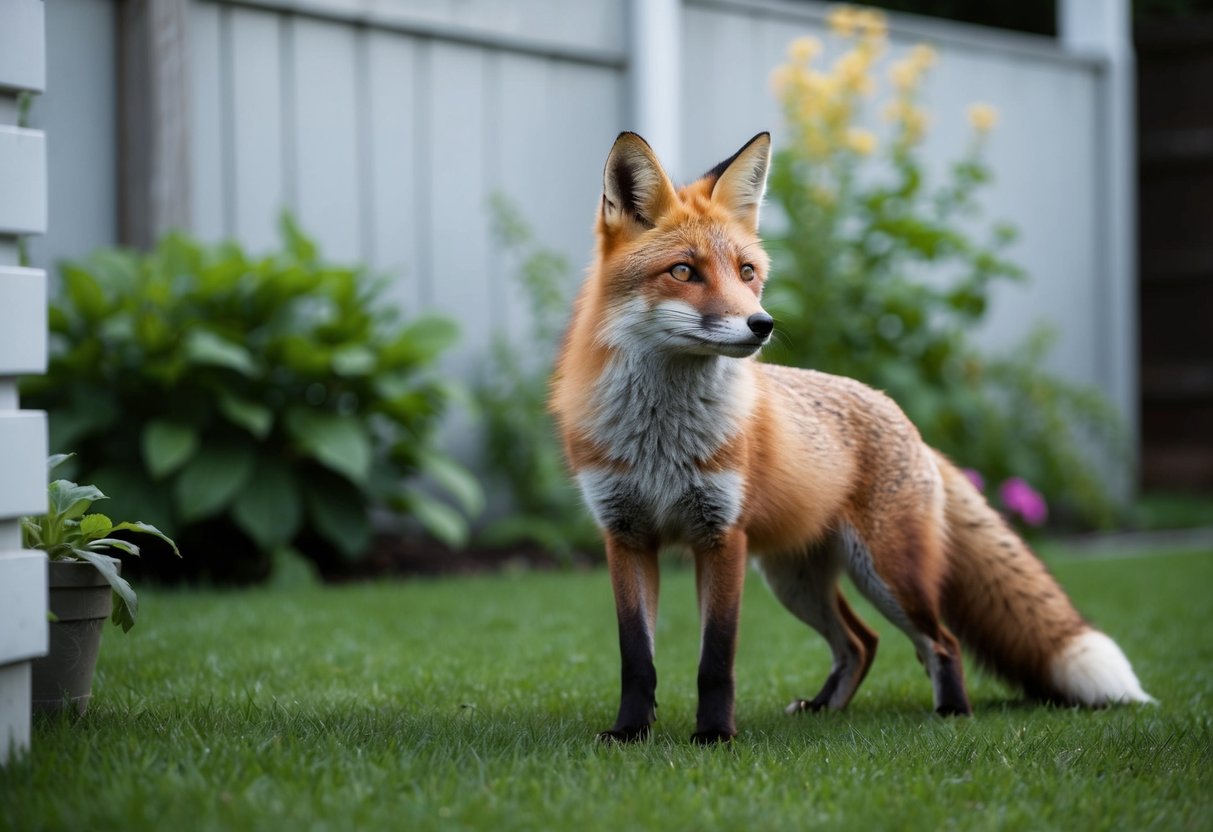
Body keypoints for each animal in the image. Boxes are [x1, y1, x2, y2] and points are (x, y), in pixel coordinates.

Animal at [549, 131, 1154, 744]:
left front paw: (715, 736)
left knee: (940, 641)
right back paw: (824, 709)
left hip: (887, 575)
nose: (762, 324)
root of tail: (902, 416)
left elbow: (716, 659)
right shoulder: (626, 537)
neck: (660, 439)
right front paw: (630, 733)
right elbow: (637, 657)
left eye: (746, 271)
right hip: (795, 579)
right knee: (862, 643)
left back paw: (952, 715)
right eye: (683, 272)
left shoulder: (721, 538)